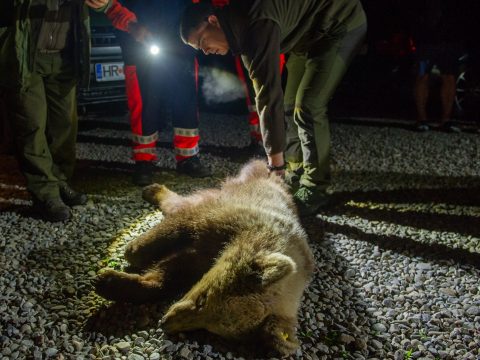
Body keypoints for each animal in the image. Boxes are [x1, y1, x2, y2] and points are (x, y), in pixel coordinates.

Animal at [95, 161, 316, 358]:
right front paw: (131, 252)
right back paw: (152, 189)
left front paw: (112, 281)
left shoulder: (202, 256)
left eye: (211, 328)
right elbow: (178, 229)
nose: (165, 323)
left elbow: (168, 273)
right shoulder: (225, 219)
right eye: (203, 299)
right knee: (182, 204)